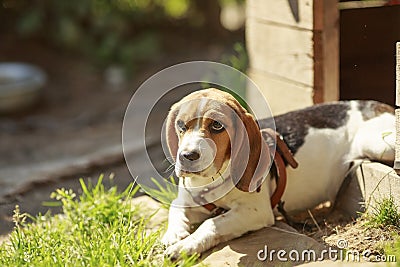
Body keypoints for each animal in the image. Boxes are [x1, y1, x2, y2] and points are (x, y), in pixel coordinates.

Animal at [161, 89, 396, 258]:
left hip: (376, 142)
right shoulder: (188, 199)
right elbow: (175, 207)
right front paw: (174, 234)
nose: (187, 156)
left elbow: (211, 223)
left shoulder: (255, 211)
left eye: (217, 125)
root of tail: (377, 105)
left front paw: (185, 246)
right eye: (180, 125)